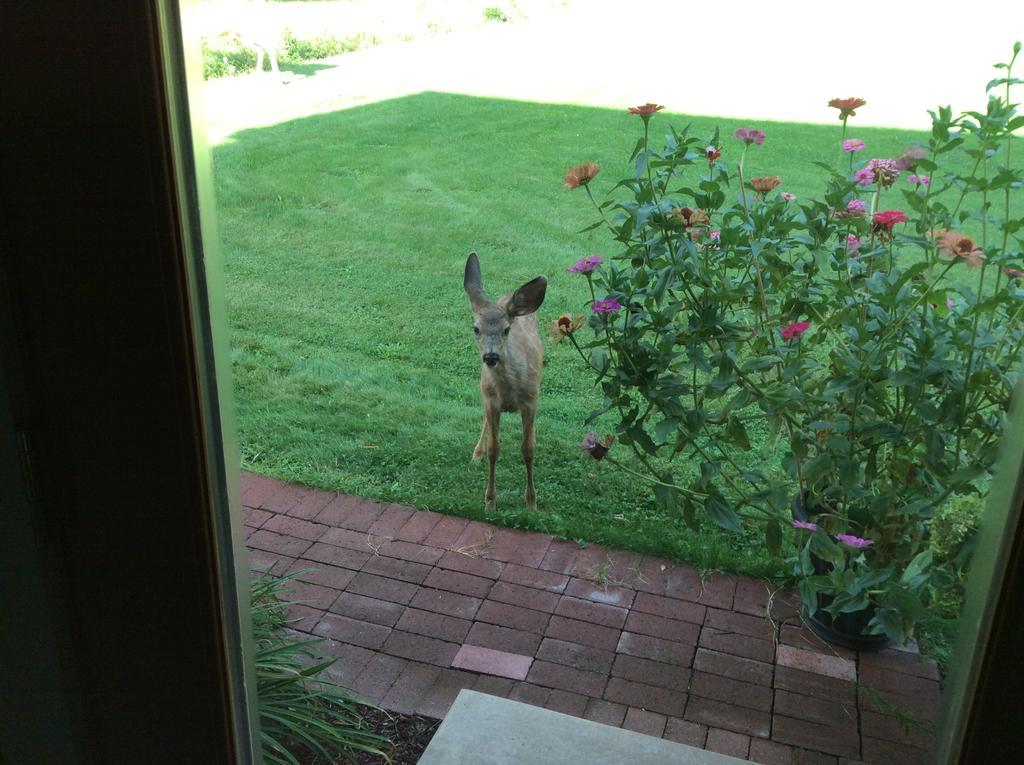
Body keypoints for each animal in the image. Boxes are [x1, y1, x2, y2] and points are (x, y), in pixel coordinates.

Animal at [462, 253, 544, 512]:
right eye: (476, 328)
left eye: (506, 329)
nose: (490, 357)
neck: (509, 391)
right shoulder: (490, 400)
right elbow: (493, 449)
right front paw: (490, 501)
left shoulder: (530, 401)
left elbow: (528, 450)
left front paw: (531, 502)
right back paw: (475, 454)